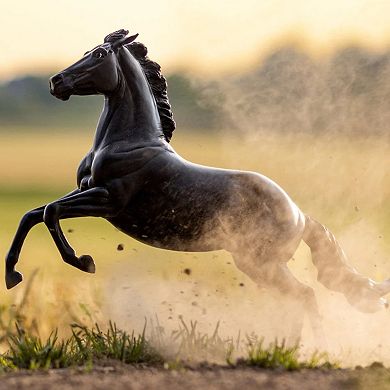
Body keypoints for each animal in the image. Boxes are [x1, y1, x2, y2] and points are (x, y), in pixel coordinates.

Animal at [5, 29, 390, 330]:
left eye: (98, 55)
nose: (56, 82)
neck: (128, 140)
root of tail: (299, 215)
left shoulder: (108, 200)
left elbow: (51, 212)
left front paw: (83, 262)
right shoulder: (87, 193)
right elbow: (32, 214)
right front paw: (12, 276)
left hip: (261, 264)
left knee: (306, 296)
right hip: (258, 265)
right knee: (298, 300)